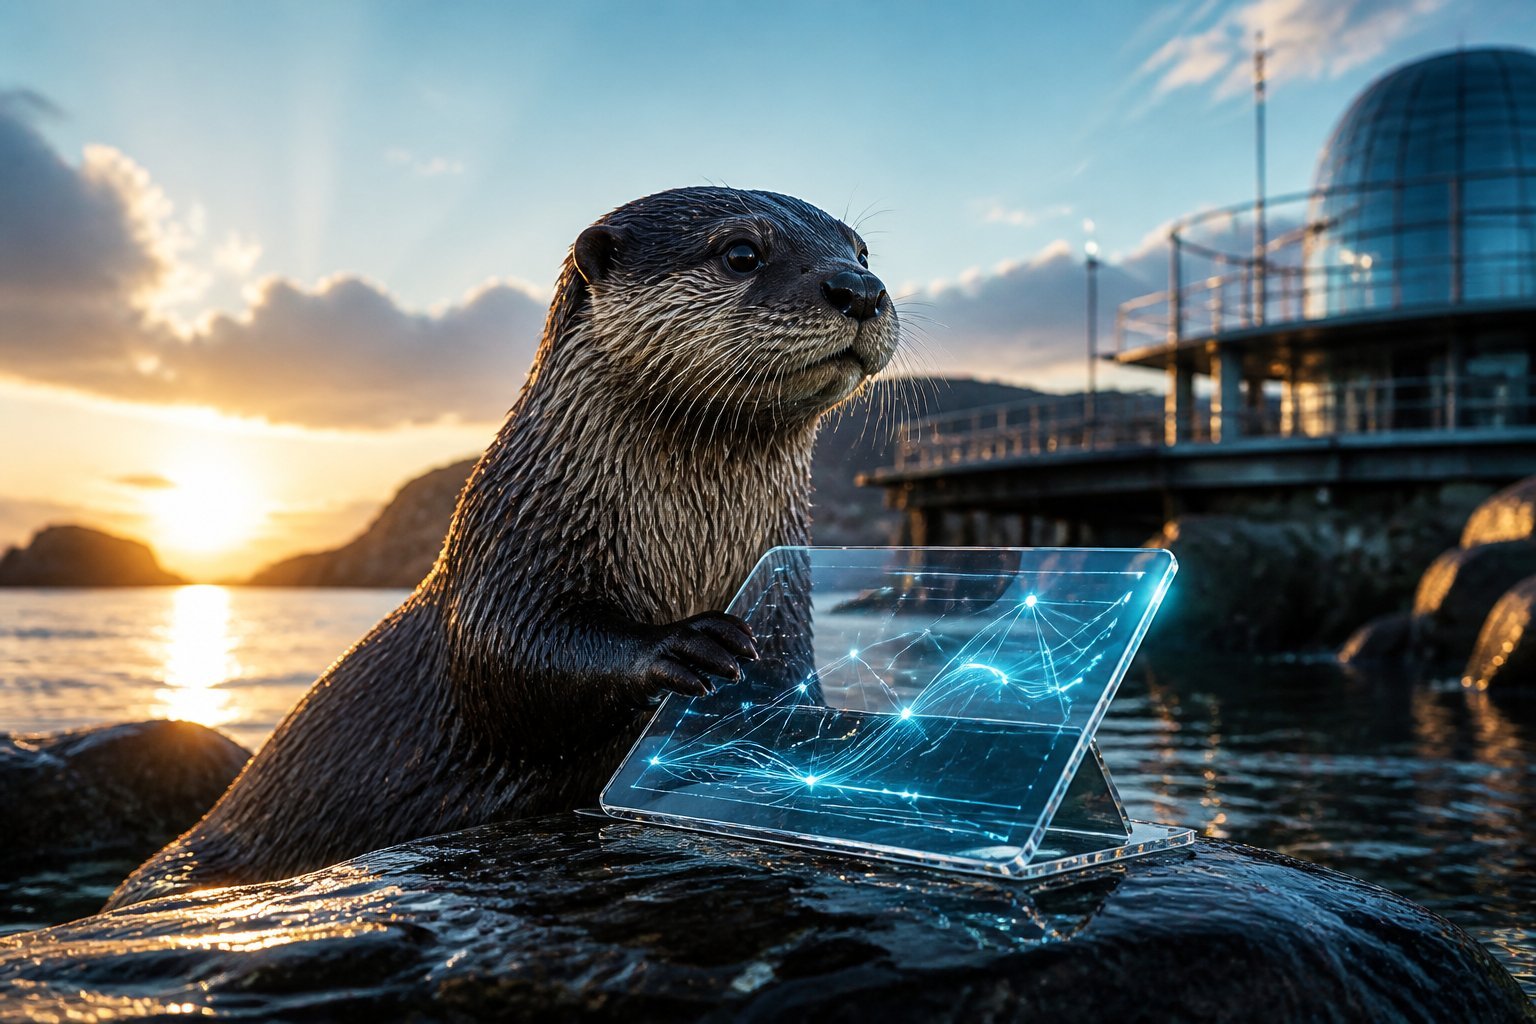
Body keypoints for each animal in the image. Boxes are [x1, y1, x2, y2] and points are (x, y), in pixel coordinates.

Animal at [107, 187, 899, 909]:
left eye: (862, 251)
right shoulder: (507, 556)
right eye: (741, 252)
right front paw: (683, 645)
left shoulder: (787, 595)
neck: (684, 544)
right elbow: (507, 659)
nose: (860, 289)